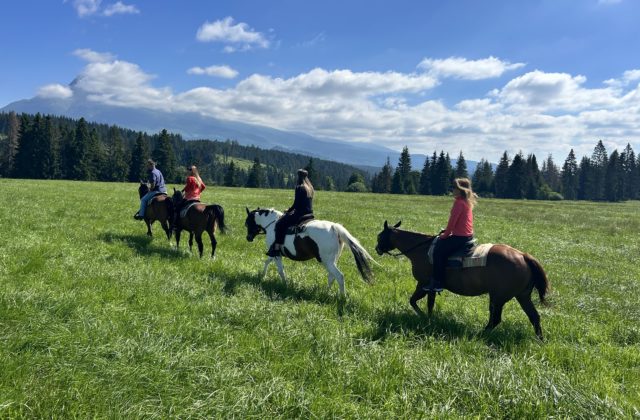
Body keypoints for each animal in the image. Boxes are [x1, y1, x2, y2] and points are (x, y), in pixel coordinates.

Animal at [245, 208, 376, 296]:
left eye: (247, 222)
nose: (248, 238)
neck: (273, 225)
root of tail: (333, 227)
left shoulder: (276, 254)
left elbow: (280, 270)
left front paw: (284, 284)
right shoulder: (275, 254)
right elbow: (267, 262)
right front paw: (262, 275)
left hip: (327, 262)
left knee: (339, 276)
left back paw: (342, 297)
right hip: (332, 261)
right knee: (331, 277)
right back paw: (326, 292)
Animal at [376, 221, 552, 340]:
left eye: (380, 236)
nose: (377, 249)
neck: (422, 249)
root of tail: (523, 256)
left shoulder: (424, 284)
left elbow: (416, 302)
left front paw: (426, 318)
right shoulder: (427, 287)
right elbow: (423, 302)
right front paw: (429, 318)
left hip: (498, 298)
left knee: (495, 319)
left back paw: (481, 334)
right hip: (522, 296)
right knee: (534, 316)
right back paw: (540, 339)